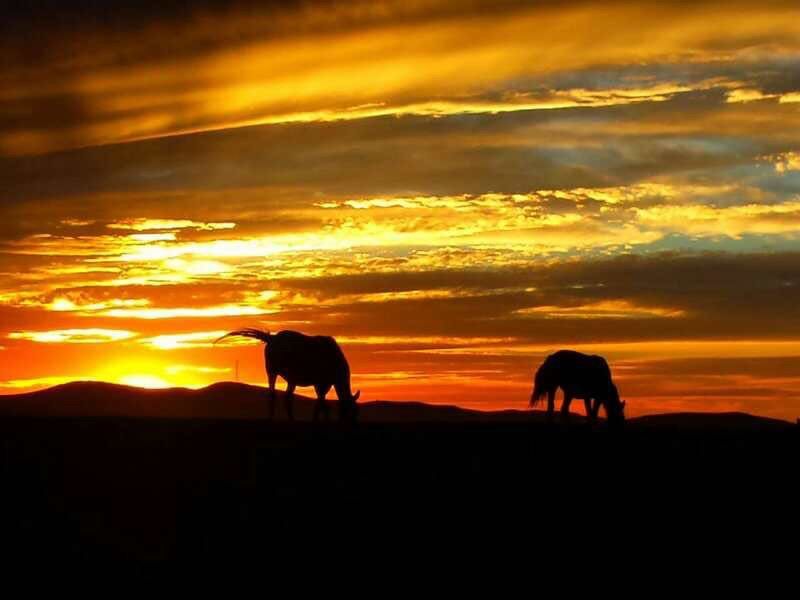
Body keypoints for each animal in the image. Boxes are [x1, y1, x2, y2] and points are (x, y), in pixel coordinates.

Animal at [214, 328, 360, 422]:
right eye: (352, 412)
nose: (351, 423)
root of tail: (272, 338)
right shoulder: (322, 383)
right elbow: (321, 403)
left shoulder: (322, 384)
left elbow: (321, 402)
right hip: (272, 370)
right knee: (273, 394)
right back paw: (272, 418)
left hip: (289, 377)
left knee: (286, 396)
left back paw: (290, 418)